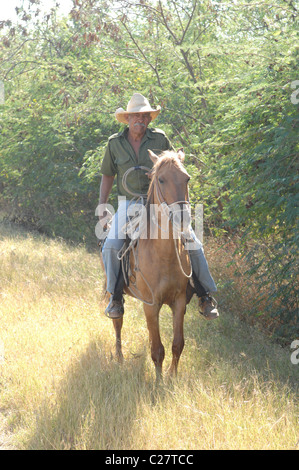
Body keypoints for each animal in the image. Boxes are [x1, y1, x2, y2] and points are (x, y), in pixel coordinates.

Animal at [108, 151, 195, 382]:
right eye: (161, 179)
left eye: (187, 178)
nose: (182, 217)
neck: (163, 255)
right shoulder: (151, 304)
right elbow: (157, 349)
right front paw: (158, 382)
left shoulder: (179, 302)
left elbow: (177, 344)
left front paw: (172, 377)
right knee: (118, 322)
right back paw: (119, 357)